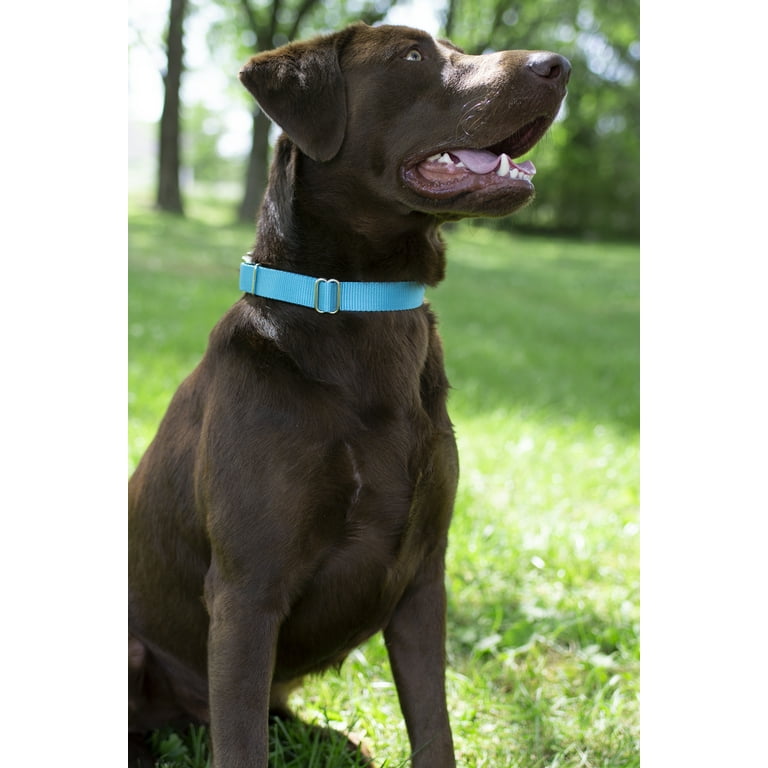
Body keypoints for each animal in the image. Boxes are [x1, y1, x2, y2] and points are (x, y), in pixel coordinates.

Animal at [129, 22, 569, 768]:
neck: (362, 307)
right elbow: (242, 745)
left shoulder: (424, 578)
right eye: (413, 56)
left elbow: (433, 725)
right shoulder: (247, 592)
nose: (560, 64)